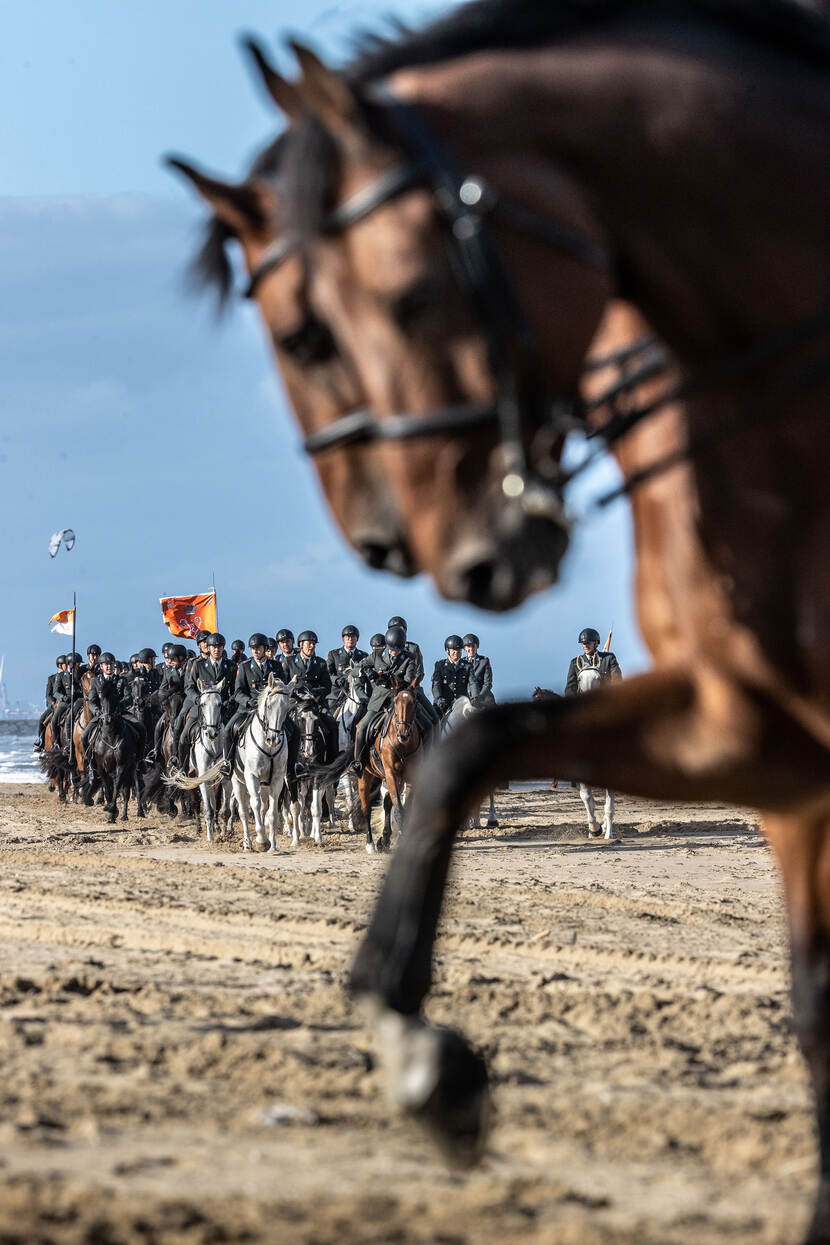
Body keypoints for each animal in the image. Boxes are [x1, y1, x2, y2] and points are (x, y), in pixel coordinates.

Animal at [230, 677, 292, 851]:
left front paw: (272, 845)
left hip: (265, 785)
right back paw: (247, 843)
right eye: (269, 705)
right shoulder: (252, 776)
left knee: (264, 808)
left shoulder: (277, 779)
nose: (273, 740)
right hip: (237, 781)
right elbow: (255, 805)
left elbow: (272, 813)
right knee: (244, 811)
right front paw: (261, 841)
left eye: (287, 708)